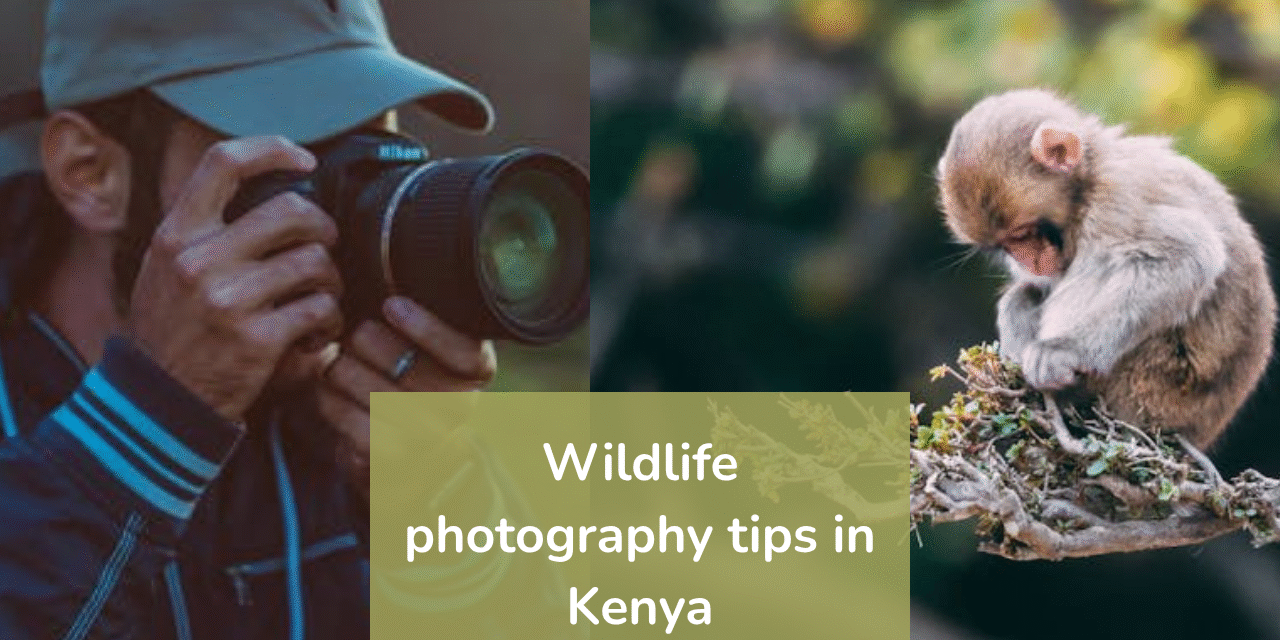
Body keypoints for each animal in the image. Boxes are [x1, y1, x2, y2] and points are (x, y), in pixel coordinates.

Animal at [935, 88, 1276, 450]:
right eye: (1005, 246)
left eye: (1022, 233)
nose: (1026, 261)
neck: (1090, 175)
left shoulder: (1117, 202)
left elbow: (1187, 256)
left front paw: (1065, 350)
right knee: (1028, 291)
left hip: (1153, 386)